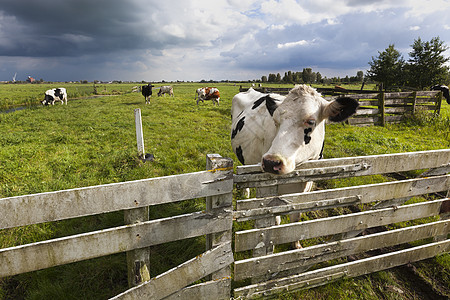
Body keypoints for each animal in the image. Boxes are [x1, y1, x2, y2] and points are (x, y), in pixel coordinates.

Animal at [232, 85, 358, 248]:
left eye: (311, 121)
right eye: (275, 121)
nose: (271, 162)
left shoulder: (306, 186)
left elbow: (296, 217)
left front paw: (296, 245)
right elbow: (273, 218)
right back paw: (245, 194)